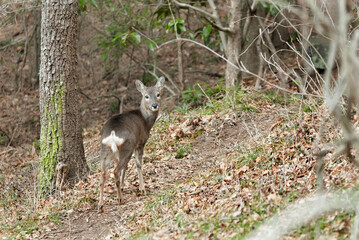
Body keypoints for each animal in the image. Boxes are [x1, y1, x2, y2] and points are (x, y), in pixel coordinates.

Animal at [98, 77, 166, 212]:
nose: (154, 105)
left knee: (103, 174)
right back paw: (120, 199)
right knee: (115, 171)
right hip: (126, 147)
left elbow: (126, 167)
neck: (146, 121)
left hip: (106, 149)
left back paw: (101, 205)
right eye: (146, 96)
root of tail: (112, 134)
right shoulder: (140, 142)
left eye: (158, 94)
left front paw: (123, 186)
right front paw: (142, 188)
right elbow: (138, 164)